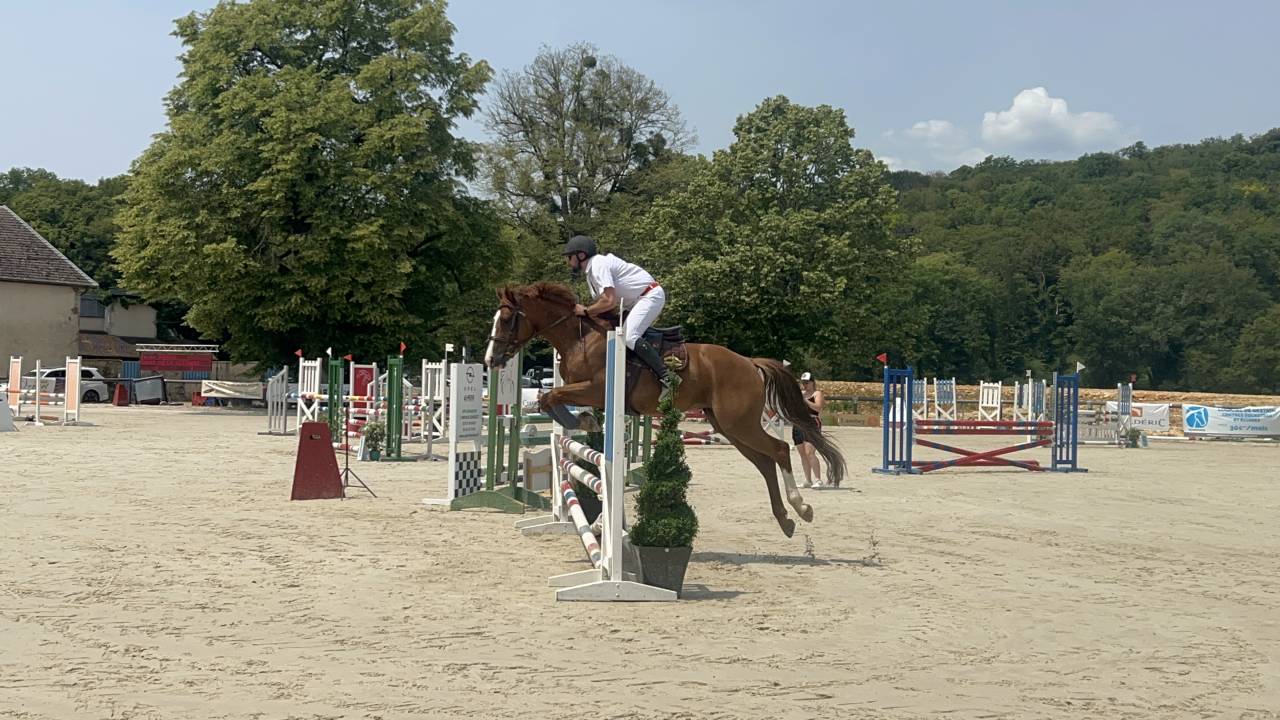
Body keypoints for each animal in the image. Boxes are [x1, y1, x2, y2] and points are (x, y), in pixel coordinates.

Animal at [484, 282, 846, 538]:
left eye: (506, 319)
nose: (490, 360)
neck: (580, 338)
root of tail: (748, 362)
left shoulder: (594, 388)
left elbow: (551, 398)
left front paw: (581, 421)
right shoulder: (589, 393)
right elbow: (551, 400)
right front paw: (584, 421)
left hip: (739, 424)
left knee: (779, 450)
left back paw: (801, 507)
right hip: (729, 427)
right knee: (765, 462)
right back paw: (785, 519)